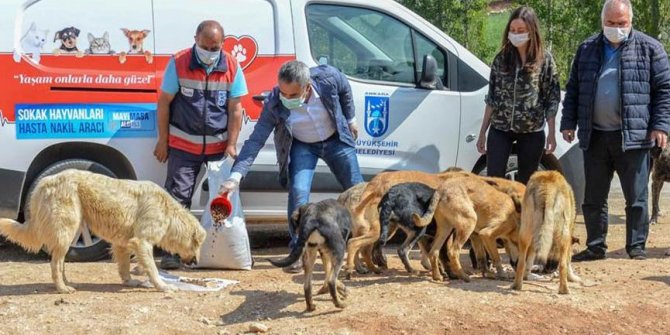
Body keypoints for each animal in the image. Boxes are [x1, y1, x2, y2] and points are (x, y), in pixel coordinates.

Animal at [0, 171, 205, 294]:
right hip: (66, 232)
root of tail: (46, 180)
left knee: (59, 263)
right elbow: (153, 269)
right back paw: (62, 288)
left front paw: (129, 281)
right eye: (197, 245)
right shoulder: (142, 242)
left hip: (70, 232)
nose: (196, 262)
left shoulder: (123, 243)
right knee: (55, 264)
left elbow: (124, 266)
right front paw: (163, 286)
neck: (169, 212)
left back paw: (67, 283)